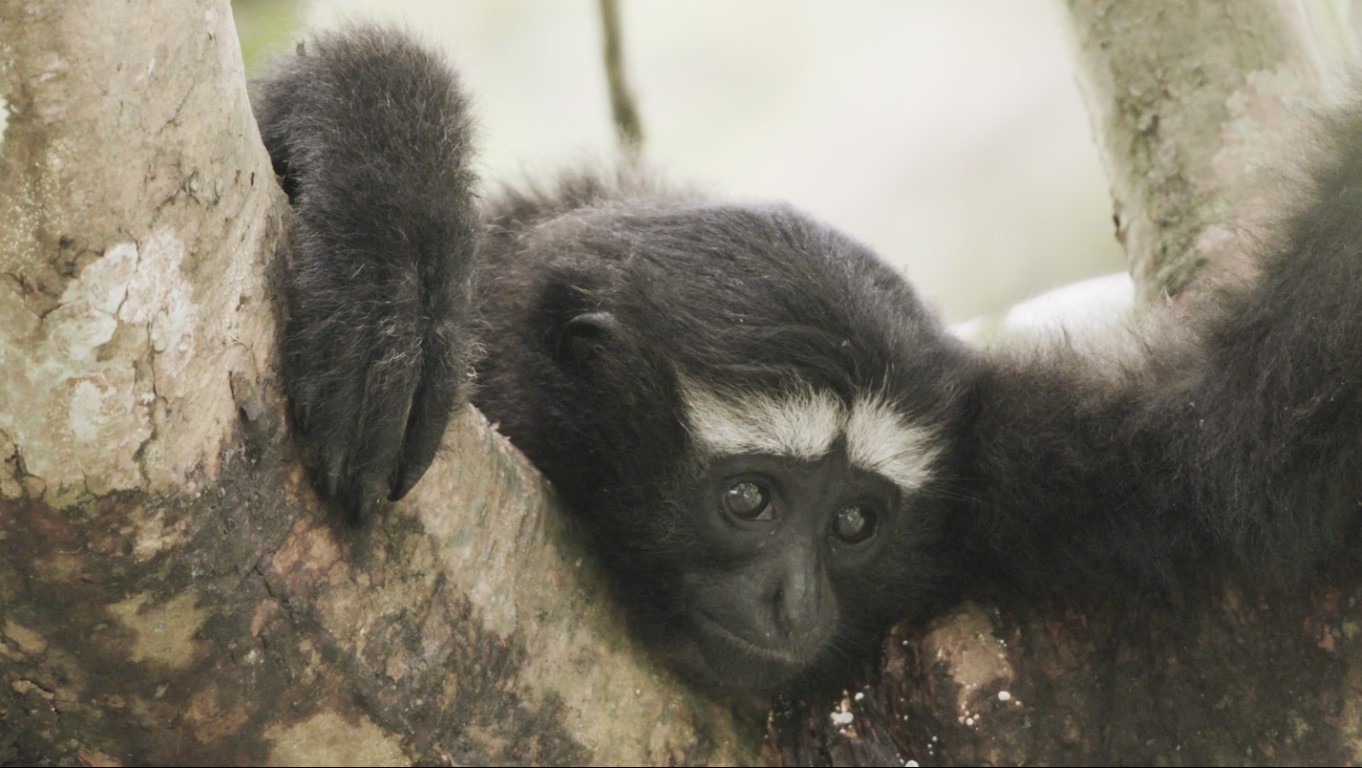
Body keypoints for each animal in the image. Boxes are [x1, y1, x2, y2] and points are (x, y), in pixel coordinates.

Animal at [253, 25, 1362, 694]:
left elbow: (1251, 444)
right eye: (749, 500)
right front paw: (392, 217)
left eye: (857, 524)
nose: (795, 602)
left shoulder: (1018, 459)